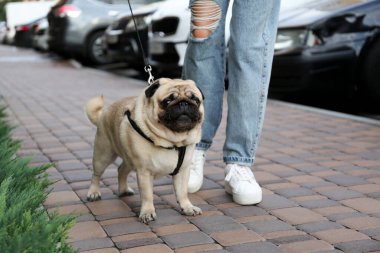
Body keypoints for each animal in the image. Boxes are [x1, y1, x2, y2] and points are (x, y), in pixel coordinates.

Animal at [85, 77, 205, 223]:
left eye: (195, 100)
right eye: (168, 101)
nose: (184, 103)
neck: (173, 141)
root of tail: (104, 113)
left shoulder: (182, 171)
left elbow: (182, 193)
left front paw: (187, 207)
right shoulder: (144, 172)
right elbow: (147, 195)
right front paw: (147, 212)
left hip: (128, 159)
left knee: (121, 170)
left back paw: (124, 190)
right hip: (104, 154)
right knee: (96, 174)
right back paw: (93, 193)